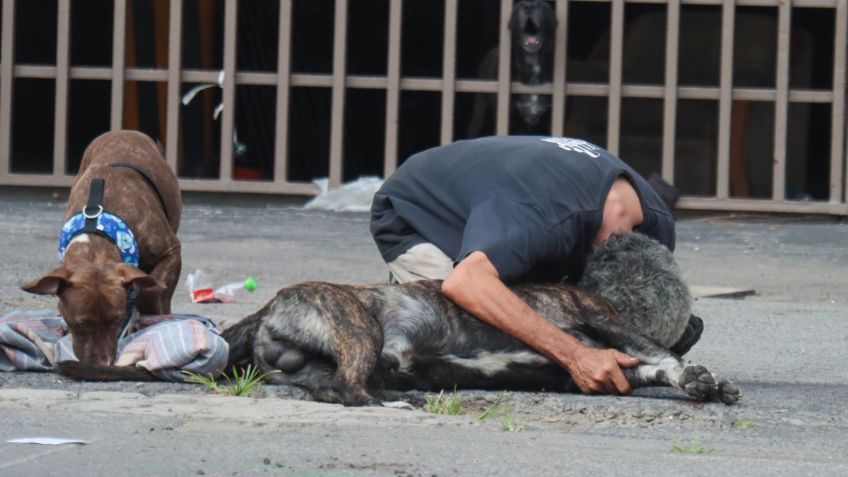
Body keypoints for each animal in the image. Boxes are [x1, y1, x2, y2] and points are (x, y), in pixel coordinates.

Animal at [22, 130, 181, 364]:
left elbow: (152, 290)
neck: (96, 235)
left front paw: (149, 316)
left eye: (115, 320)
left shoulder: (171, 252)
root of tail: (125, 131)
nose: (103, 363)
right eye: (81, 324)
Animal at [220, 234, 744, 406]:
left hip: (314, 364)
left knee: (329, 386)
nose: (699, 320)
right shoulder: (602, 320)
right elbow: (664, 355)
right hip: (358, 326)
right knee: (347, 388)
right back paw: (391, 400)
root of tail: (267, 307)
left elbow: (649, 366)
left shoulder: (602, 369)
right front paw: (698, 377)